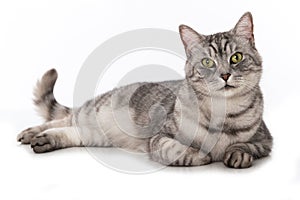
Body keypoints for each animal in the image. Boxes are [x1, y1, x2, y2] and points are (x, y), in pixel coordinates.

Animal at [17, 12, 274, 169]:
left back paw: (44, 140)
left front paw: (237, 154)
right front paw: (200, 154)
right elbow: (178, 150)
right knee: (63, 119)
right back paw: (31, 133)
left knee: (72, 130)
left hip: (96, 134)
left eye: (236, 57)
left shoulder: (266, 140)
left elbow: (246, 145)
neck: (223, 112)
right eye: (207, 62)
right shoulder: (159, 137)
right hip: (93, 112)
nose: (225, 74)